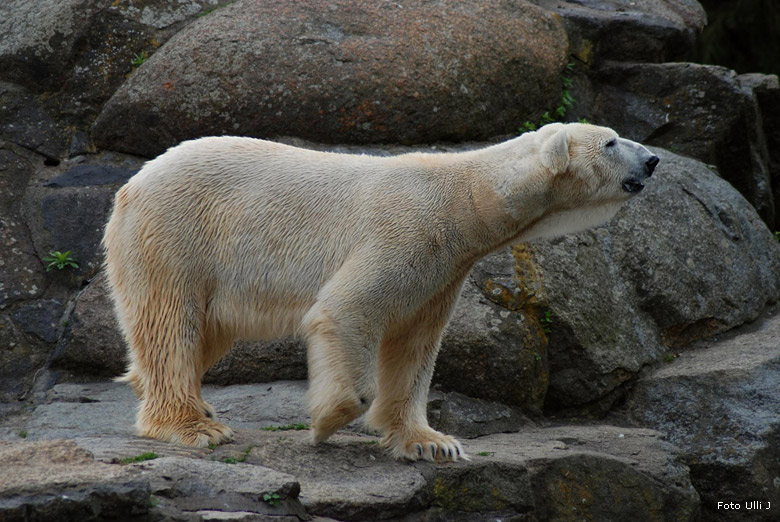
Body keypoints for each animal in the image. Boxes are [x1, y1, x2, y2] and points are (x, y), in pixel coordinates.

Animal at [102, 121, 660, 460]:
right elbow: (346, 311)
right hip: (177, 234)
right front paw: (326, 422)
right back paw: (193, 425)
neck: (465, 200)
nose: (653, 159)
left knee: (204, 331)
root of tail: (132, 182)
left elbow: (414, 344)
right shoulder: (406, 232)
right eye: (611, 142)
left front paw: (431, 442)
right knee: (171, 321)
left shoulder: (444, 267)